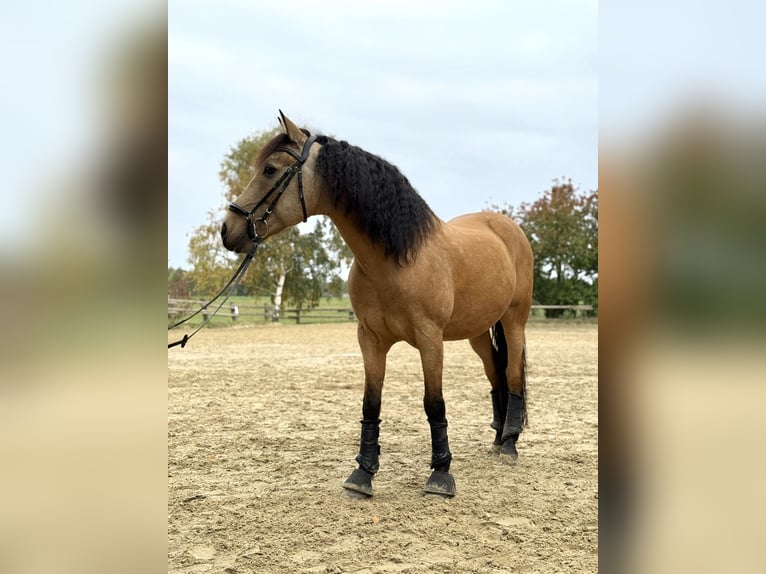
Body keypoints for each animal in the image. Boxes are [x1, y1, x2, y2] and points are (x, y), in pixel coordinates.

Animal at [221, 111, 533, 497]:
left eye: (270, 169)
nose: (227, 229)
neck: (395, 260)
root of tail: (506, 227)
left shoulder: (430, 340)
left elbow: (434, 404)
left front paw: (441, 474)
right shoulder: (370, 339)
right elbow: (371, 403)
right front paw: (362, 474)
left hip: (514, 321)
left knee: (513, 374)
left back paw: (510, 445)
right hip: (477, 331)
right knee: (495, 375)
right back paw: (498, 438)